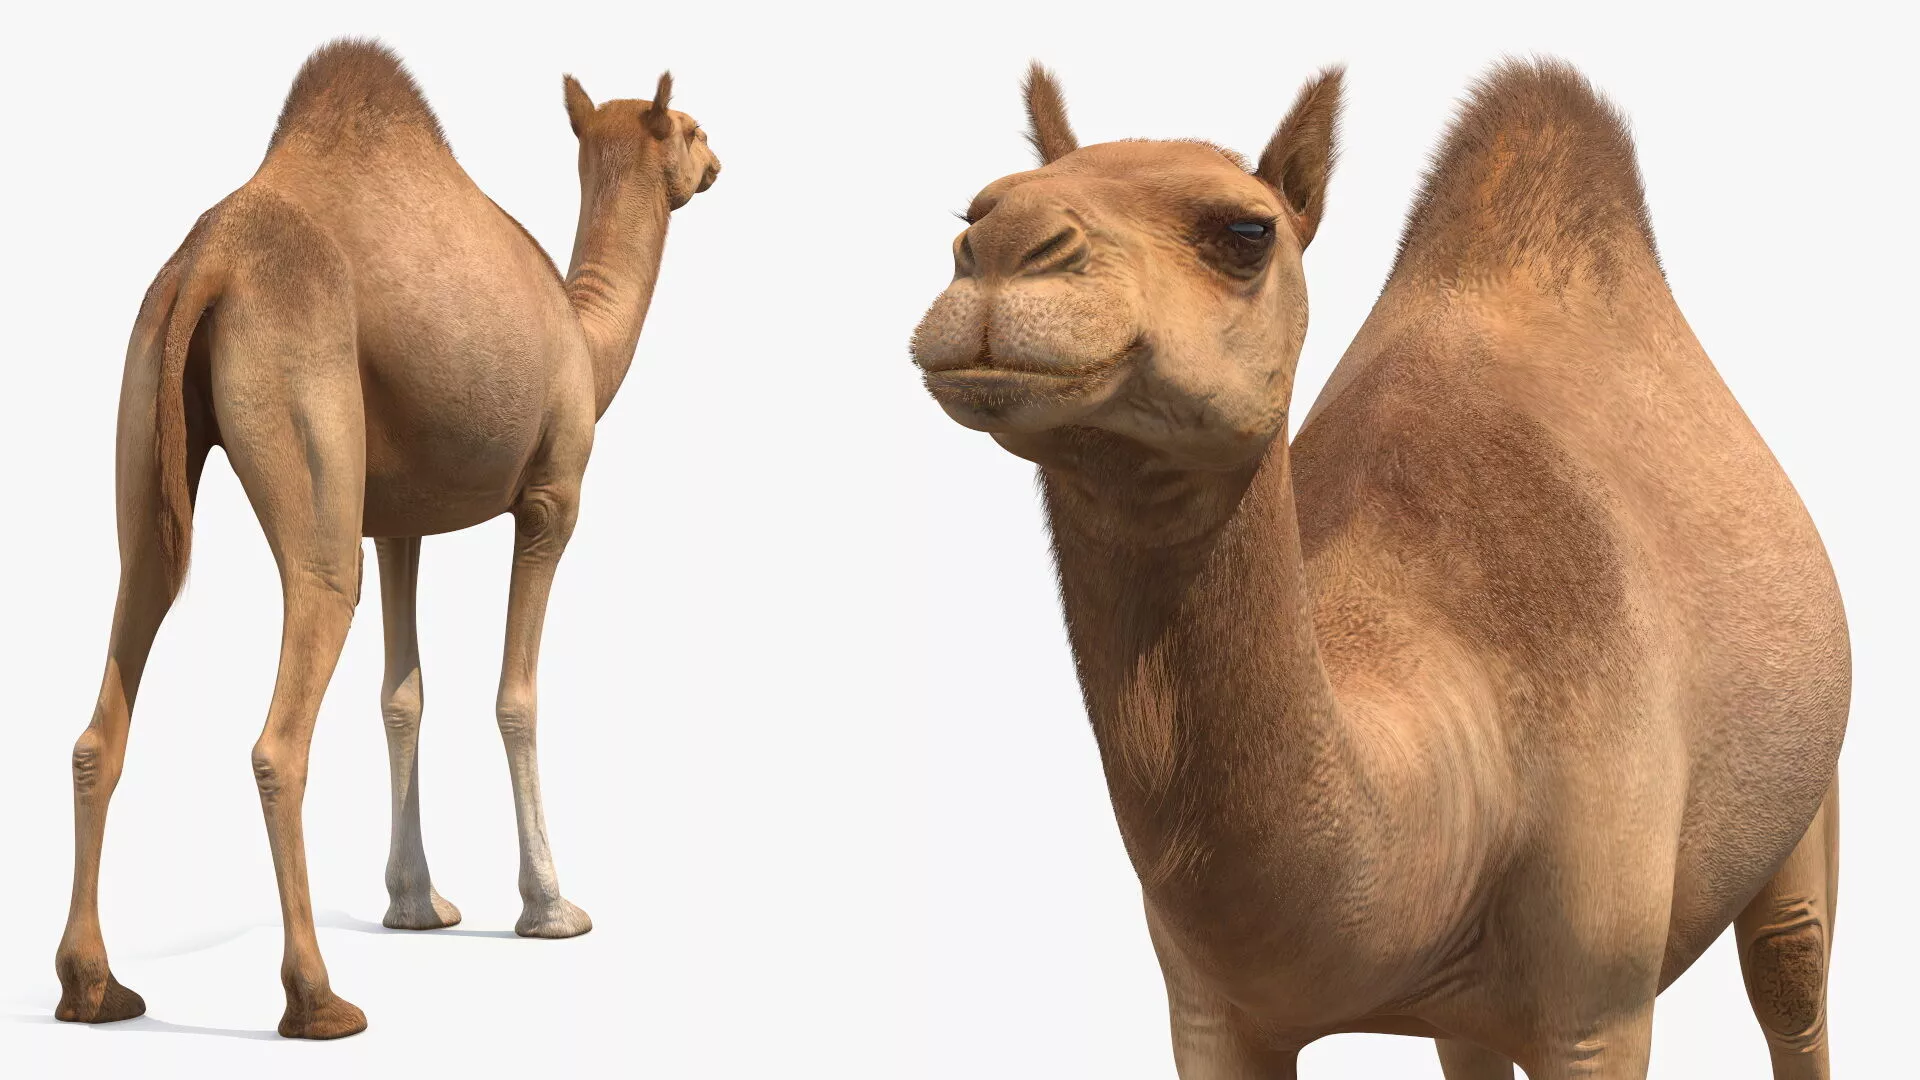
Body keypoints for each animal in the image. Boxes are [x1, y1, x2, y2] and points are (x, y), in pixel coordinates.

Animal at [54, 39, 719, 1039]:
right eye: (690, 128)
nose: (718, 164)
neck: (585, 338)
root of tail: (210, 259)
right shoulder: (552, 495)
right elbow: (516, 695)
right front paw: (550, 907)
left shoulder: (400, 520)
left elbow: (402, 695)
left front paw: (417, 903)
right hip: (309, 420)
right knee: (284, 721)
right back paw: (318, 999)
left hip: (145, 409)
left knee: (123, 657)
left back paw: (93, 988)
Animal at [912, 60, 1847, 1079]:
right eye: (971, 210)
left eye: (1246, 233)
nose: (1001, 250)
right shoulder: (1208, 1007)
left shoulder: (1599, 1005)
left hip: (1807, 792)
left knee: (1792, 972)